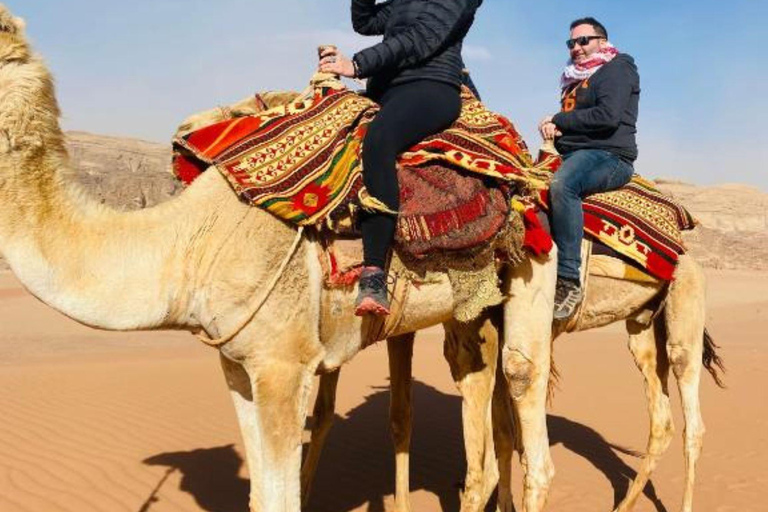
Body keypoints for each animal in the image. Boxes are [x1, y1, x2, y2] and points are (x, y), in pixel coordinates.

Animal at [0, 6, 556, 510]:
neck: (190, 244)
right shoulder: (236, 362)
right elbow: (259, 494)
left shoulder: (283, 365)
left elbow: (280, 497)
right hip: (476, 307)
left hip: (536, 266)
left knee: (527, 402)